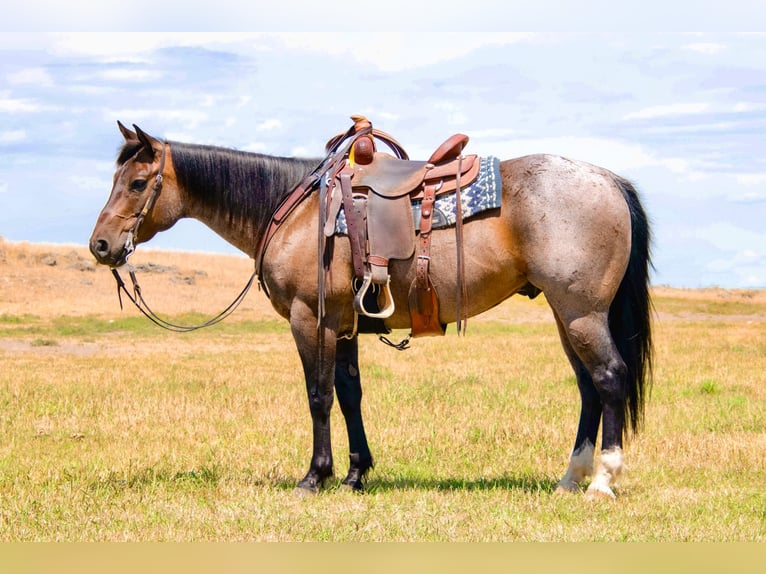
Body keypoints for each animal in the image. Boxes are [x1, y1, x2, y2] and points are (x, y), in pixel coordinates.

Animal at [89, 120, 653, 499]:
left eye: (137, 183)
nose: (100, 245)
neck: (296, 211)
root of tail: (608, 179)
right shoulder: (343, 326)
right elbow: (349, 395)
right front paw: (356, 473)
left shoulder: (310, 319)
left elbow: (318, 396)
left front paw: (315, 476)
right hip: (566, 314)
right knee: (587, 387)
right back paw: (570, 478)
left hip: (581, 312)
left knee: (608, 378)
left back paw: (602, 481)